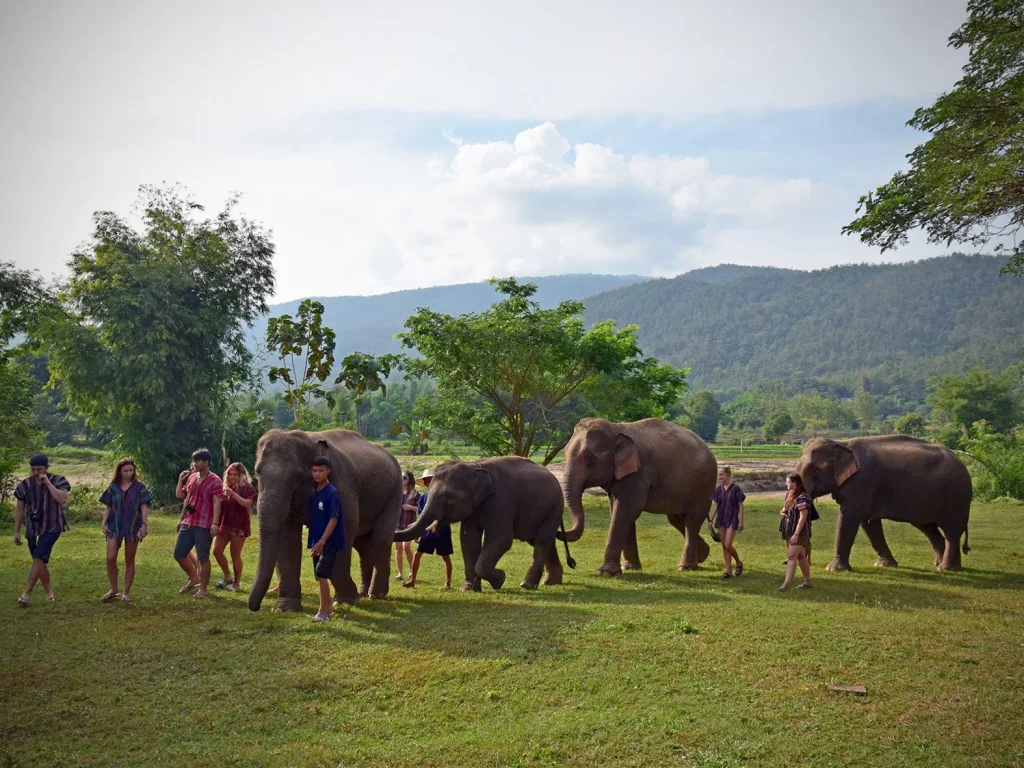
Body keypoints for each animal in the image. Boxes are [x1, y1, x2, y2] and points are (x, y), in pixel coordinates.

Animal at [248, 428, 403, 614]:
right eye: (257, 473)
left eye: (295, 479)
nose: (255, 608)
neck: (308, 439)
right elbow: (287, 538)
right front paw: (284, 609)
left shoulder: (342, 487)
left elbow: (344, 529)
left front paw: (344, 602)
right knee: (363, 543)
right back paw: (364, 592)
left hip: (395, 490)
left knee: (380, 538)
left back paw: (376, 594)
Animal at [395, 456, 569, 593]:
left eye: (449, 497)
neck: (474, 466)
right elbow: (469, 540)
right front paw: (468, 588)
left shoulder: (501, 501)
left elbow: (501, 539)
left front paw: (500, 579)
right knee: (542, 541)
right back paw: (551, 582)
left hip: (555, 506)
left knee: (541, 541)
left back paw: (527, 585)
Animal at [557, 421, 716, 577]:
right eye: (565, 452)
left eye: (590, 458)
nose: (559, 533)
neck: (616, 427)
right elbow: (619, 511)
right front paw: (629, 568)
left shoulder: (639, 473)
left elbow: (625, 510)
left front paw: (606, 573)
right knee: (675, 518)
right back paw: (702, 555)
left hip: (705, 486)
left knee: (692, 520)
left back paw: (686, 567)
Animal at [794, 436, 970, 573]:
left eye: (813, 471)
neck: (842, 443)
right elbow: (869, 524)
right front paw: (884, 565)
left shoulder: (862, 482)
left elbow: (849, 518)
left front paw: (833, 569)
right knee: (930, 528)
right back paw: (943, 565)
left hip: (956, 497)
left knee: (951, 532)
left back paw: (946, 568)